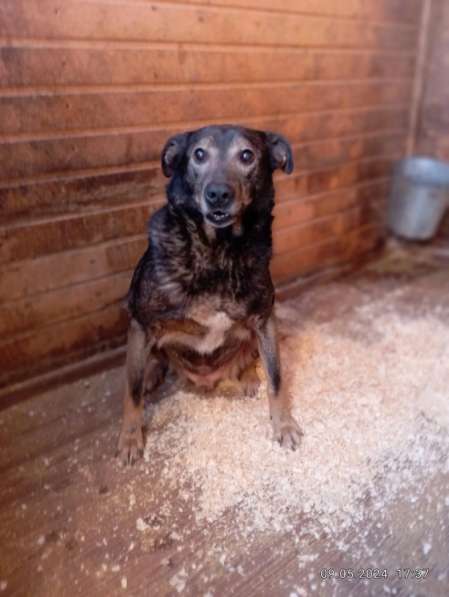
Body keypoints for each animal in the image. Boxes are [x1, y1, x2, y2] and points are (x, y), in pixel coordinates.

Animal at [117, 123, 302, 464]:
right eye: (199, 154)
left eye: (247, 156)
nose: (217, 194)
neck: (219, 252)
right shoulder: (140, 322)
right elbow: (132, 390)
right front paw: (130, 438)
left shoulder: (265, 319)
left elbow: (277, 377)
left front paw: (283, 425)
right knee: (151, 362)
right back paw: (151, 373)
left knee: (249, 356)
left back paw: (247, 377)